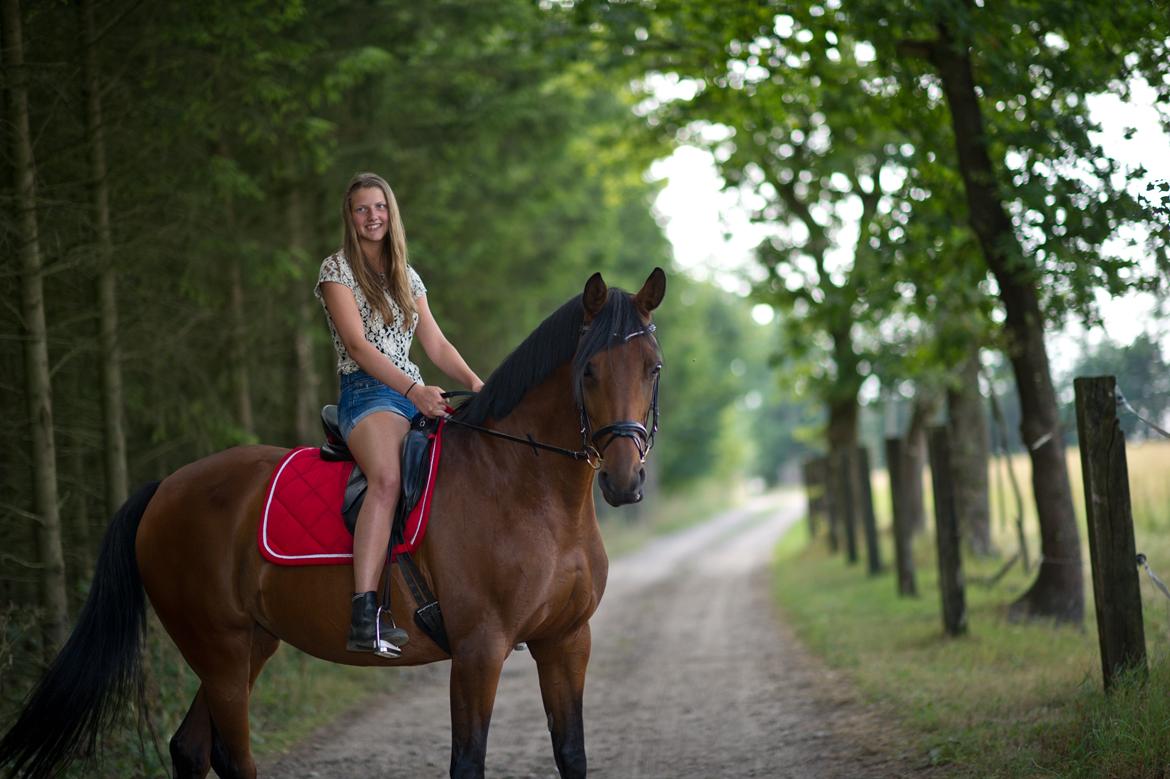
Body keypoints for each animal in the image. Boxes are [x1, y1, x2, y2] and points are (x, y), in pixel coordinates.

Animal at [0, 269, 664, 776]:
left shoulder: (567, 640)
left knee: (190, 748)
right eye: (588, 371)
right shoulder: (480, 650)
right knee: (231, 755)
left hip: (250, 643)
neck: (528, 488)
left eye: (652, 368)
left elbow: (571, 754)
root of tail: (165, 488)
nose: (624, 481)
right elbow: (467, 762)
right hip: (217, 646)